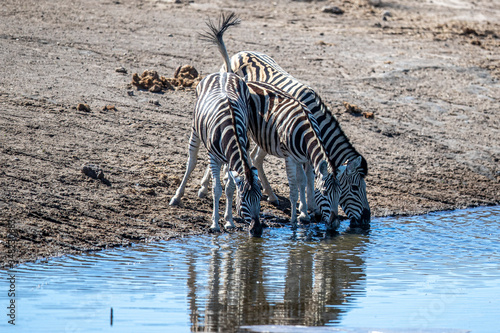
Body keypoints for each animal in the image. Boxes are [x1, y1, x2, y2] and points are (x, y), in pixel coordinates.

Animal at [169, 13, 264, 236]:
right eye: (244, 200)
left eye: (260, 200)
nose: (257, 231)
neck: (232, 132)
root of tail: (225, 73)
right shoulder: (213, 156)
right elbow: (218, 188)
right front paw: (215, 223)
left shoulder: (233, 158)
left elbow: (229, 187)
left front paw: (228, 221)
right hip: (195, 130)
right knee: (192, 161)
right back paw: (177, 196)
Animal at [221, 50, 370, 228]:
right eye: (354, 188)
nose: (367, 219)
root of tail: (240, 53)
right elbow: (306, 179)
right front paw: (308, 210)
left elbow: (308, 178)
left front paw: (311, 208)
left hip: (265, 134)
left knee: (255, 157)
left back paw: (270, 195)